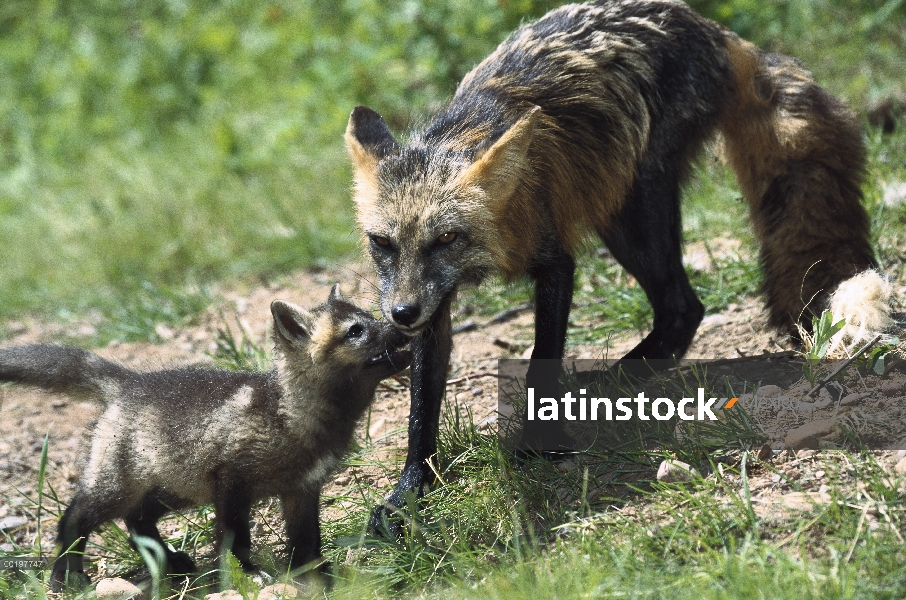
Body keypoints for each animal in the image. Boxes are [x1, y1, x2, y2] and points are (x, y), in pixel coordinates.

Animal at [344, 0, 888, 524]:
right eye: (382, 243)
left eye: (447, 238)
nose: (400, 315)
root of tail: (709, 27)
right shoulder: (432, 301)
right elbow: (421, 404)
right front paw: (410, 491)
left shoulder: (554, 261)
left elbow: (542, 358)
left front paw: (540, 442)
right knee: (680, 309)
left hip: (630, 212)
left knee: (684, 306)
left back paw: (611, 384)